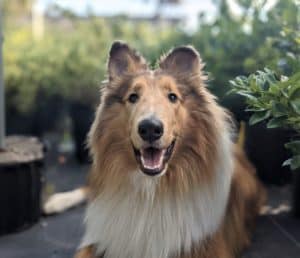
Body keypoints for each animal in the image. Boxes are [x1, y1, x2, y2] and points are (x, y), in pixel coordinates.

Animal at [49, 41, 264, 258]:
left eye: (172, 97)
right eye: (133, 97)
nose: (150, 128)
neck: (152, 191)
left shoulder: (209, 246)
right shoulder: (105, 239)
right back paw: (55, 201)